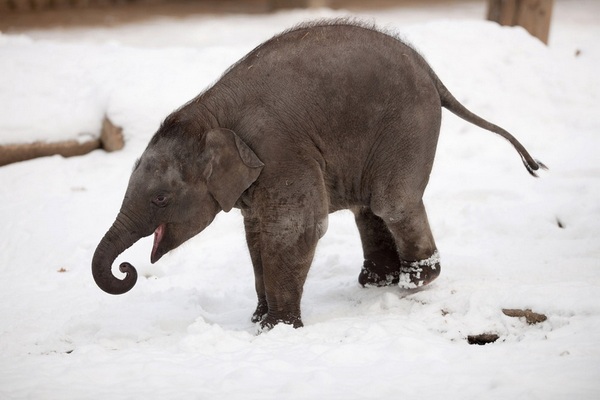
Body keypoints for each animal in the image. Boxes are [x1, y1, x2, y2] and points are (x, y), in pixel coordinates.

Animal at [91, 20, 548, 330]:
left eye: (160, 199)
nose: (127, 270)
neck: (209, 114)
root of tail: (432, 72)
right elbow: (255, 234)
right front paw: (258, 320)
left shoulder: (281, 151)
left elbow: (293, 229)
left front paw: (276, 330)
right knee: (370, 208)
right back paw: (376, 283)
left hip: (409, 127)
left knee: (392, 202)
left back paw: (414, 282)